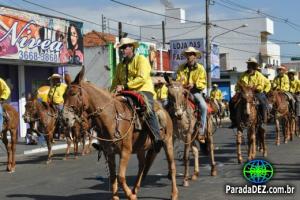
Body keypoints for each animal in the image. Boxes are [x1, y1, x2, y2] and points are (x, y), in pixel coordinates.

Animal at [61, 67, 177, 200]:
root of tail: (164, 110)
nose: (64, 119)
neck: (111, 118)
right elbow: (113, 177)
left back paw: (174, 194)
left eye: (73, 94)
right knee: (142, 167)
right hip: (141, 148)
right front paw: (125, 195)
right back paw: (134, 190)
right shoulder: (109, 153)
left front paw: (130, 196)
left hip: (168, 142)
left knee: (172, 167)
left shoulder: (125, 152)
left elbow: (121, 177)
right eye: (63, 95)